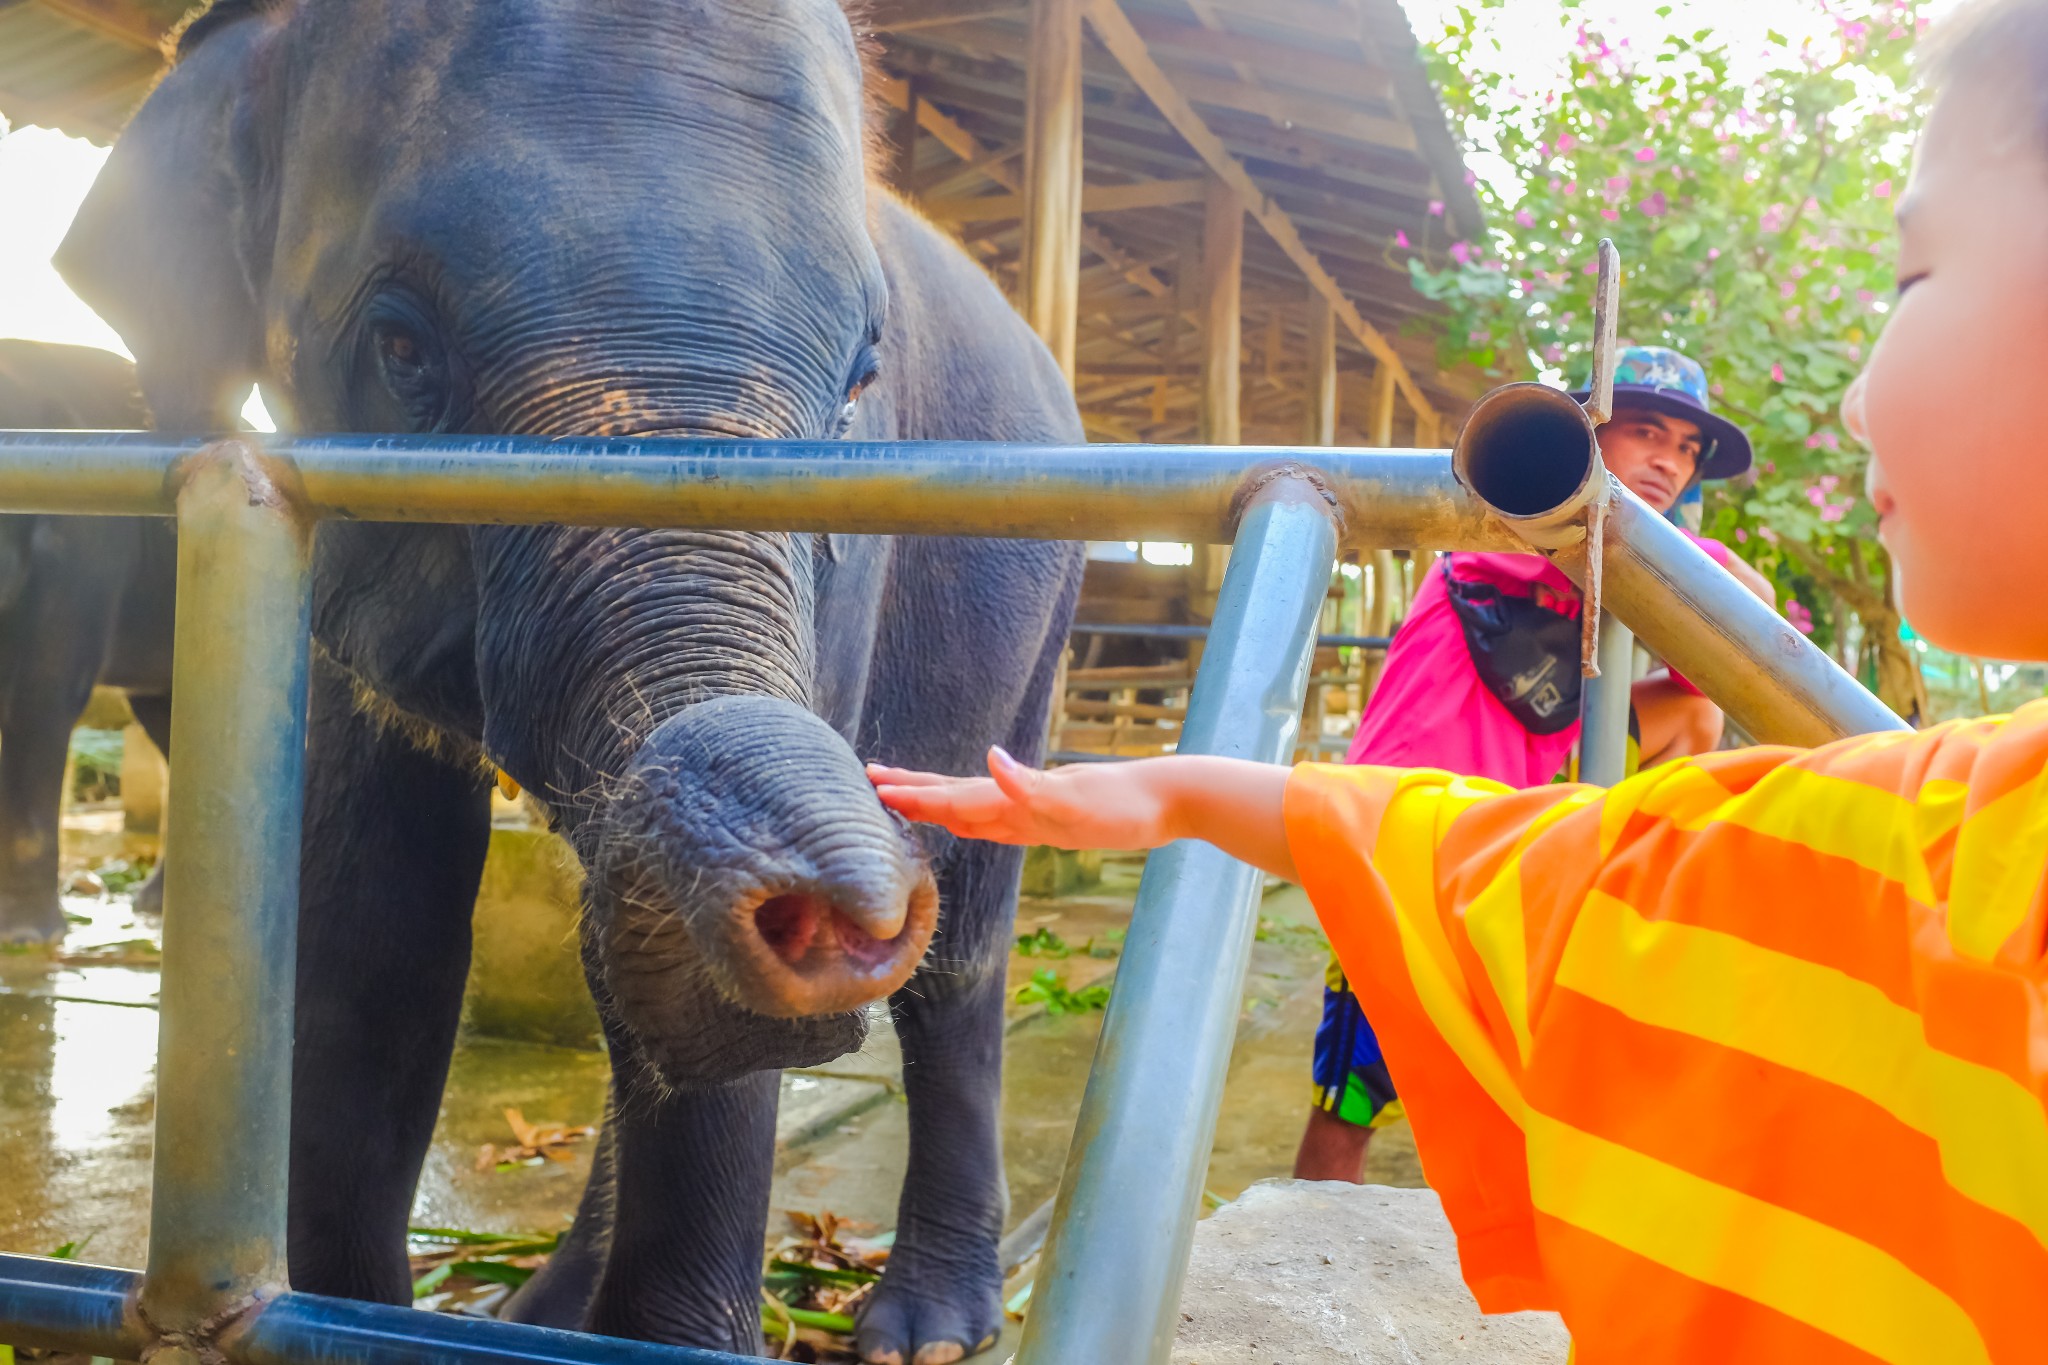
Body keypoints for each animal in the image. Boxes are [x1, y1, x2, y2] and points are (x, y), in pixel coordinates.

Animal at [56, 2, 1089, 1365]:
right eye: (400, 350)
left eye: (861, 383)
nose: (832, 908)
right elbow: (367, 916)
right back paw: (545, 1308)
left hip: (1040, 609)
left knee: (963, 953)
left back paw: (917, 1330)